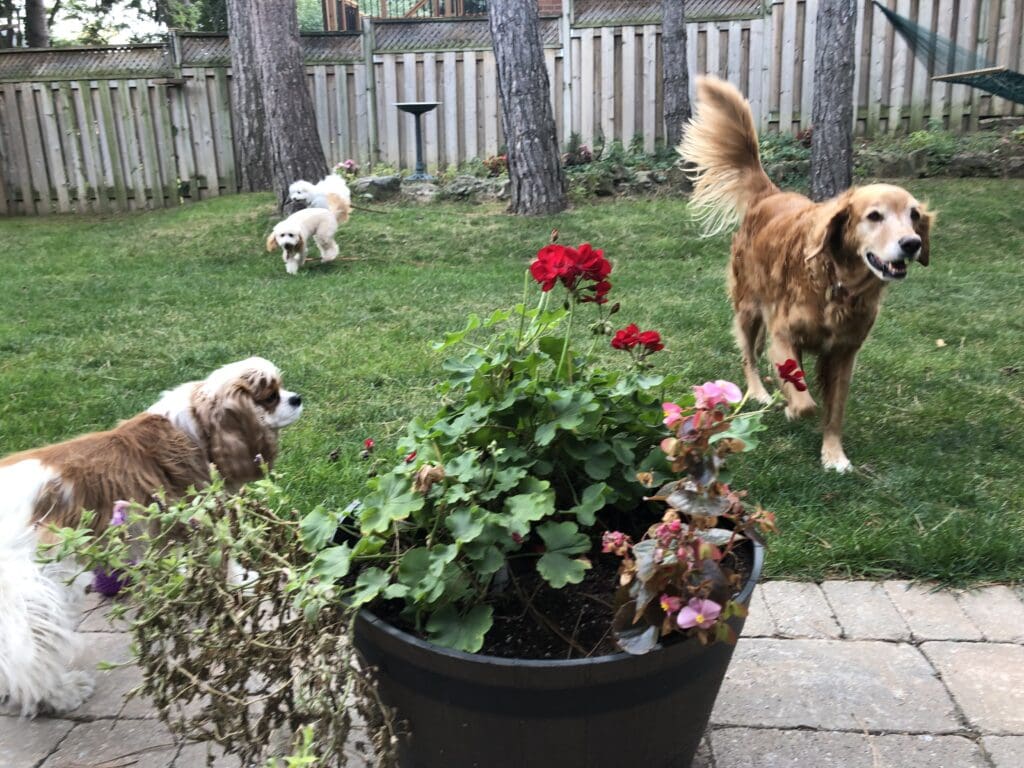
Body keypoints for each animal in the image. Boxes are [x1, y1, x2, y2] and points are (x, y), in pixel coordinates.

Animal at [0, 358, 303, 720]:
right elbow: (224, 559)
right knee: (31, 655)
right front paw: (242, 581)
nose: (297, 398)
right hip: (37, 586)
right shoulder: (203, 516)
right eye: (270, 397)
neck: (196, 429)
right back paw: (61, 694)